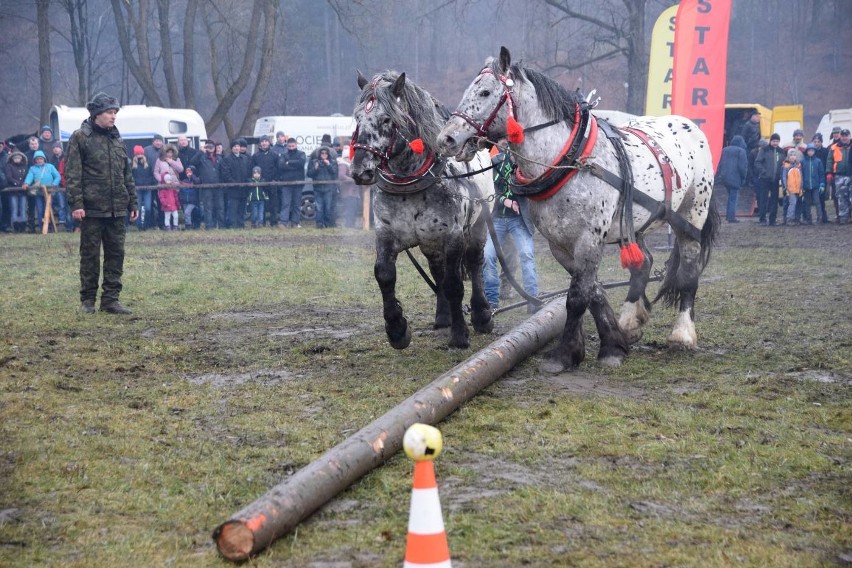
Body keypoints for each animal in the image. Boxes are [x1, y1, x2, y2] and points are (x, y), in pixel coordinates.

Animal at [352, 71, 496, 350]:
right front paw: (397, 330)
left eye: (387, 119)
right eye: (357, 118)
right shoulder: (385, 234)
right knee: (437, 271)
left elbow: (454, 284)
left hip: (477, 226)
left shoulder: (453, 236)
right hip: (430, 241)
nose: (359, 170)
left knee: (474, 263)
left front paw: (460, 335)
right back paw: (443, 317)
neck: (410, 184)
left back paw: (481, 315)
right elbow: (384, 275)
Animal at [440, 46, 720, 370]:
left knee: (688, 269)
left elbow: (577, 297)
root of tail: (692, 127)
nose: (445, 138)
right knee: (643, 264)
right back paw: (630, 321)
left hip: (691, 216)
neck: (567, 160)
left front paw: (564, 355)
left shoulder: (588, 238)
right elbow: (592, 292)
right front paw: (613, 343)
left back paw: (682, 334)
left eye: (485, 92)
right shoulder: (560, 243)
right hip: (635, 223)